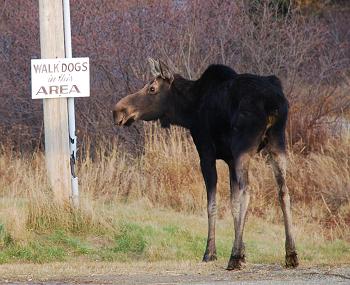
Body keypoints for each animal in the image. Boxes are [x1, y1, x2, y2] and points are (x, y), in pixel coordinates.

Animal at [113, 57, 300, 268]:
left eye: (151, 88)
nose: (118, 111)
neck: (188, 111)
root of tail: (272, 103)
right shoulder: (230, 159)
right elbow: (233, 204)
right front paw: (243, 251)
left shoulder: (206, 153)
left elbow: (212, 204)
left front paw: (212, 252)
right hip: (278, 143)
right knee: (284, 191)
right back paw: (291, 253)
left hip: (243, 147)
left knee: (248, 192)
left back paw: (234, 257)